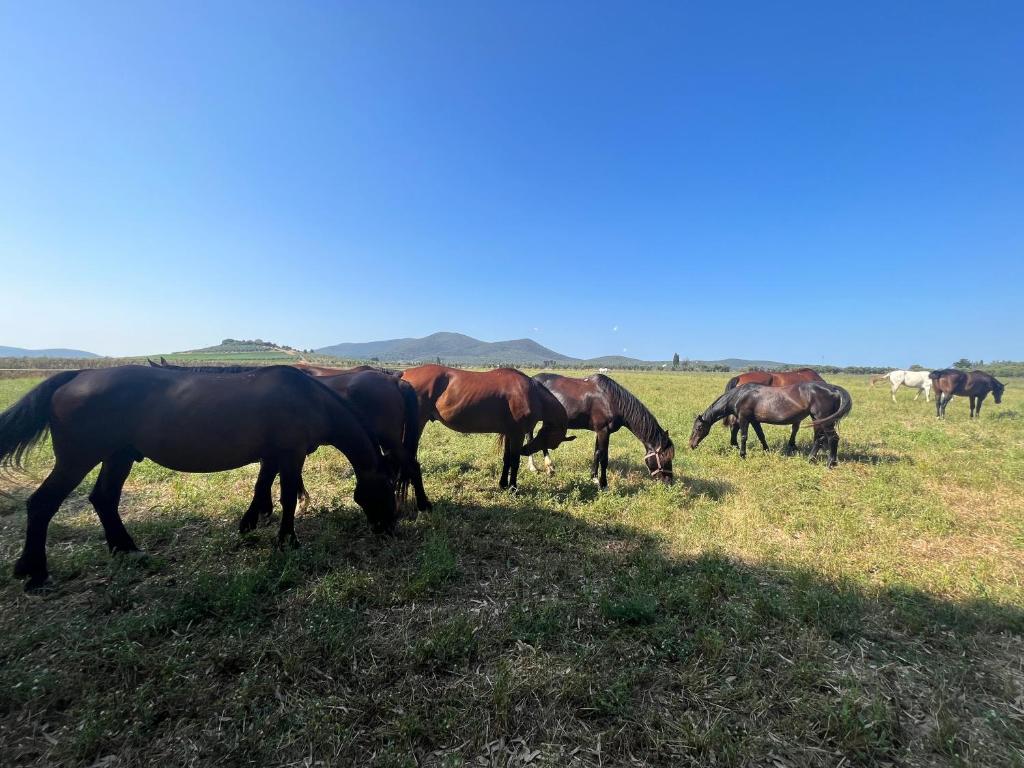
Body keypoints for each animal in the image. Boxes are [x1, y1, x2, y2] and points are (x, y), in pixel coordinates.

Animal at [0, 365, 398, 590]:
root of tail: (77, 377)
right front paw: (287, 541)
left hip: (119, 456)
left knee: (104, 499)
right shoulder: (290, 455)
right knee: (42, 504)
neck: (310, 397)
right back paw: (35, 573)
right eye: (385, 492)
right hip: (77, 461)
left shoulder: (273, 455)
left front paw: (250, 524)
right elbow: (285, 497)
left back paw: (126, 549)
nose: (389, 529)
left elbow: (261, 487)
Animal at [401, 365, 574, 490]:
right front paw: (513, 487)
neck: (532, 393)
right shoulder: (517, 435)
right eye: (552, 443)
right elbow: (514, 461)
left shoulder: (510, 433)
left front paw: (503, 484)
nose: (526, 450)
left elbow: (507, 459)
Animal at [524, 373, 673, 488]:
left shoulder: (599, 431)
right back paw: (538, 467)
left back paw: (547, 467)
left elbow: (597, 453)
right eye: (664, 457)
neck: (612, 400)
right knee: (531, 437)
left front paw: (594, 478)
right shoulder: (603, 431)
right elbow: (604, 458)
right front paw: (603, 484)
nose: (669, 481)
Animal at [689, 381, 853, 467]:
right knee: (820, 439)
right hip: (818, 419)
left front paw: (742, 455)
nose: (691, 444)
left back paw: (830, 463)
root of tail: (833, 388)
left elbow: (743, 436)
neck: (740, 395)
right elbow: (761, 435)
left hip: (823, 419)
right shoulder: (754, 420)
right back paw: (810, 459)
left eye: (699, 428)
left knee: (832, 438)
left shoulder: (744, 418)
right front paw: (766, 451)